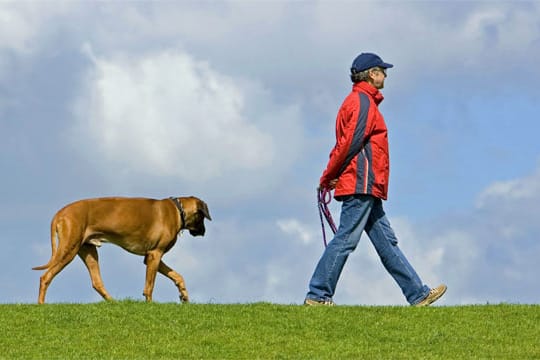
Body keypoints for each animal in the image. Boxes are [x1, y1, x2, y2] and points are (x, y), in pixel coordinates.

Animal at [32, 197, 211, 304]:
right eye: (203, 217)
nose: (204, 232)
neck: (177, 210)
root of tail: (60, 213)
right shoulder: (155, 255)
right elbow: (150, 286)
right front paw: (150, 305)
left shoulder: (151, 257)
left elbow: (178, 276)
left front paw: (183, 294)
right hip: (68, 250)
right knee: (45, 277)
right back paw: (41, 305)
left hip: (88, 251)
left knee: (97, 282)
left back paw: (113, 302)